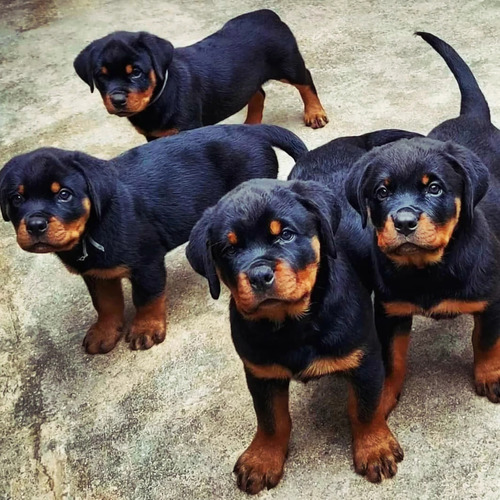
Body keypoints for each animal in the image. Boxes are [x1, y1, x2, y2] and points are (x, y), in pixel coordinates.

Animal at [0, 124, 304, 356]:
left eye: (64, 194)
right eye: (16, 198)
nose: (35, 225)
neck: (93, 227)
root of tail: (252, 128)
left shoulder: (146, 261)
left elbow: (146, 297)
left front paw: (145, 329)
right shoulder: (96, 273)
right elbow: (105, 304)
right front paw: (104, 332)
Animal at [72, 8, 326, 142]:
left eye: (135, 72)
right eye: (101, 76)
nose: (117, 100)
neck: (159, 97)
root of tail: (268, 14)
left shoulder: (187, 128)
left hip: (288, 65)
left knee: (306, 81)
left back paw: (315, 113)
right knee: (258, 93)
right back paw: (251, 124)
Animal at [186, 179, 404, 492]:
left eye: (286, 235)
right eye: (229, 249)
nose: (259, 275)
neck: (292, 324)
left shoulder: (365, 359)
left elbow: (365, 408)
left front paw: (374, 448)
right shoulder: (260, 372)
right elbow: (270, 419)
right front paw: (262, 459)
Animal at [346, 31, 500, 408]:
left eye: (434, 188)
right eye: (381, 192)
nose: (403, 221)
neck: (428, 267)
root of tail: (472, 117)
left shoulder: (491, 301)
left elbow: (487, 341)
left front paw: (489, 375)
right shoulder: (391, 311)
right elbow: (392, 357)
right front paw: (384, 394)